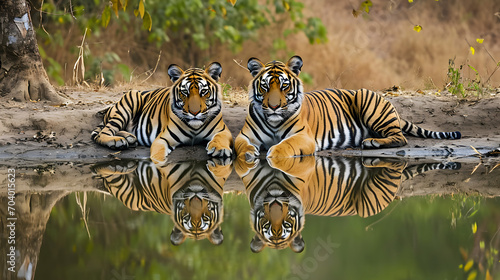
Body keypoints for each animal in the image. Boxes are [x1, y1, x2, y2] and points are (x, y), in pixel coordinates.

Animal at [91, 62, 232, 165]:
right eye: (184, 92)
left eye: (203, 92)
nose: (194, 112)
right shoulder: (163, 139)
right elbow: (157, 157)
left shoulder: (222, 130)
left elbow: (221, 138)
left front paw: (221, 149)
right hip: (126, 106)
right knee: (103, 133)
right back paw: (117, 141)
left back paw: (129, 138)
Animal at [234, 55, 460, 160]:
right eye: (265, 86)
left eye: (284, 86)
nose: (273, 107)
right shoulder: (245, 136)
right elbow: (241, 147)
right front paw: (249, 155)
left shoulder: (303, 137)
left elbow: (284, 146)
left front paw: (272, 154)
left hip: (365, 97)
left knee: (400, 137)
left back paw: (372, 143)